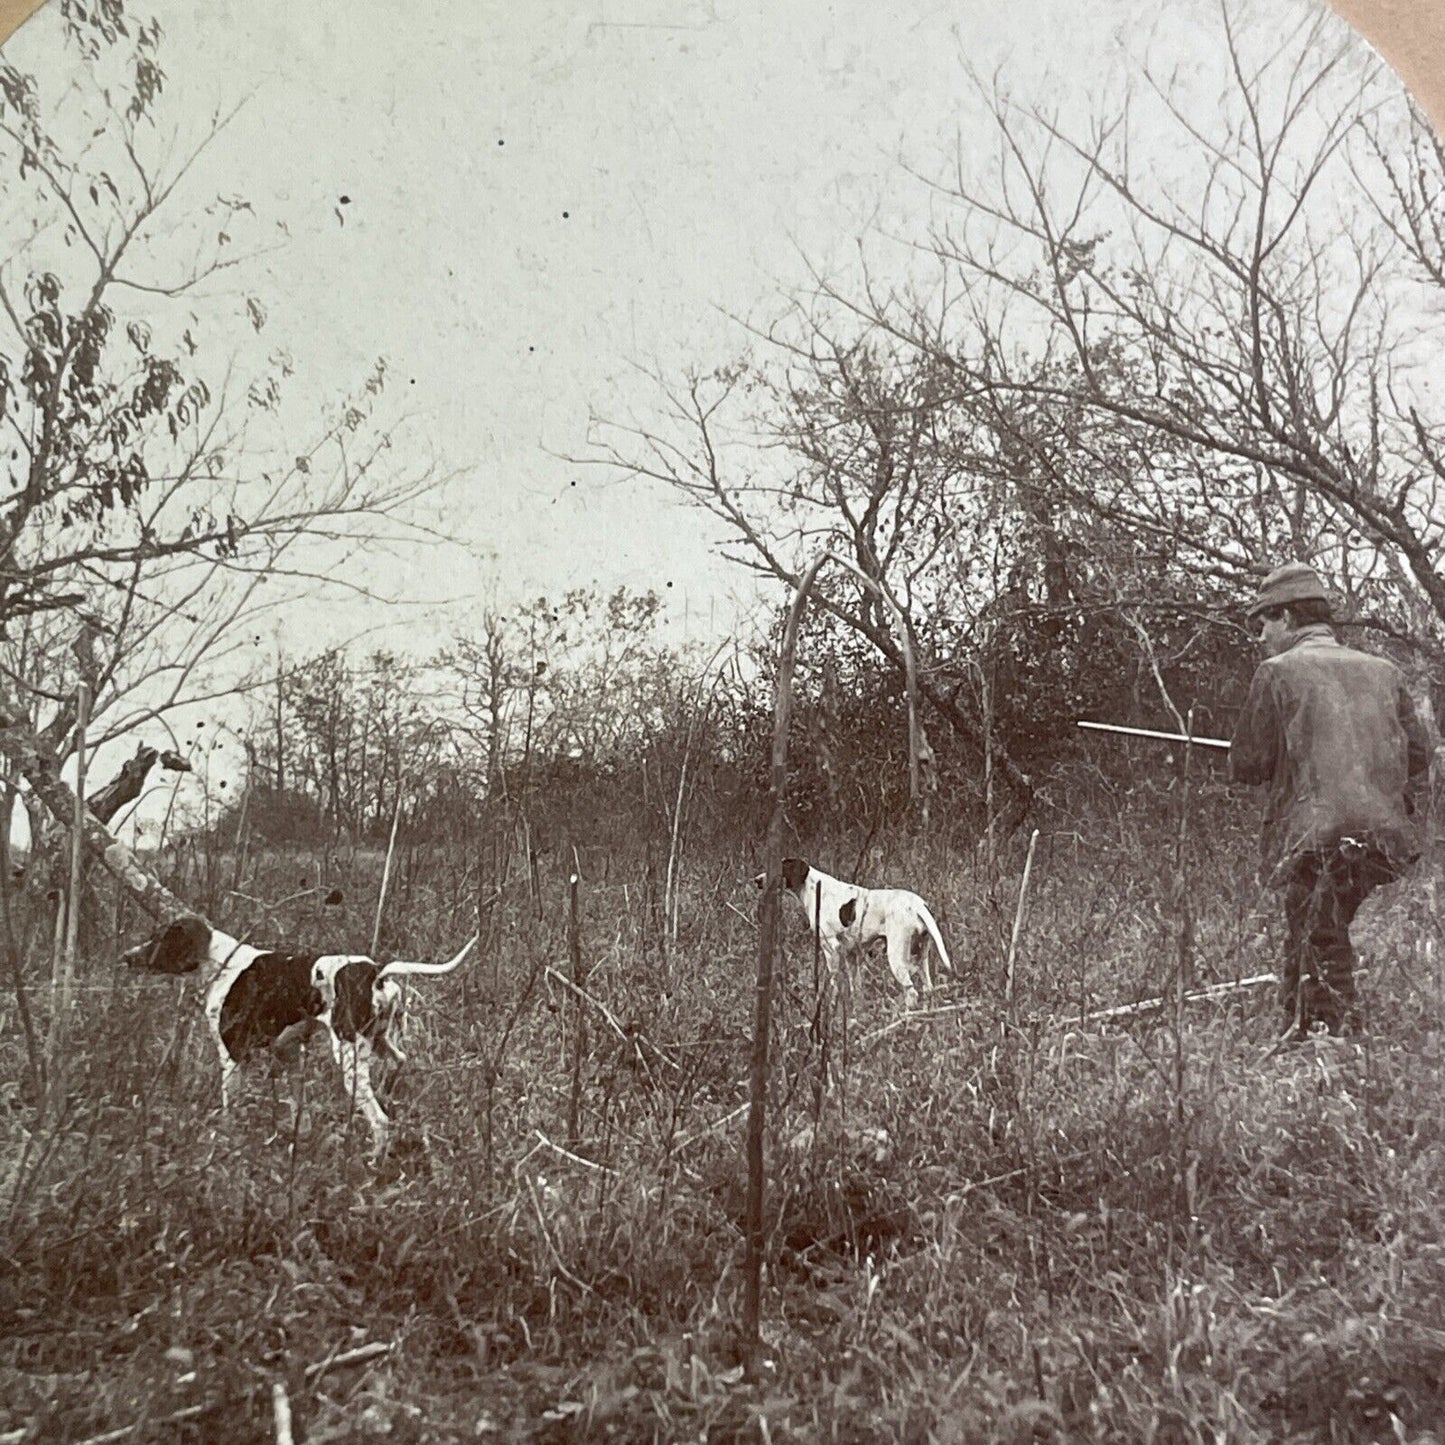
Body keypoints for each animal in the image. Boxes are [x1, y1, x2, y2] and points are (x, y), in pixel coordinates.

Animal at [124, 919, 473, 1156]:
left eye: (160, 938)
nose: (127, 956)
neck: (223, 963)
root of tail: (375, 972)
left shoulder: (232, 1057)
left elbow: (229, 1110)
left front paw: (226, 1142)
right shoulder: (290, 1053)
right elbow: (297, 1109)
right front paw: (297, 1142)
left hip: (349, 1059)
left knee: (379, 1120)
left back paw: (373, 1159)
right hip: (381, 1042)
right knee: (399, 1062)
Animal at [757, 849, 947, 1011]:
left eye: (781, 867)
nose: (757, 880)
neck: (815, 889)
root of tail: (918, 904)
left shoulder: (831, 948)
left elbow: (833, 985)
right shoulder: (851, 954)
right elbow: (856, 988)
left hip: (896, 957)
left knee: (912, 993)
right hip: (921, 956)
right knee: (928, 989)